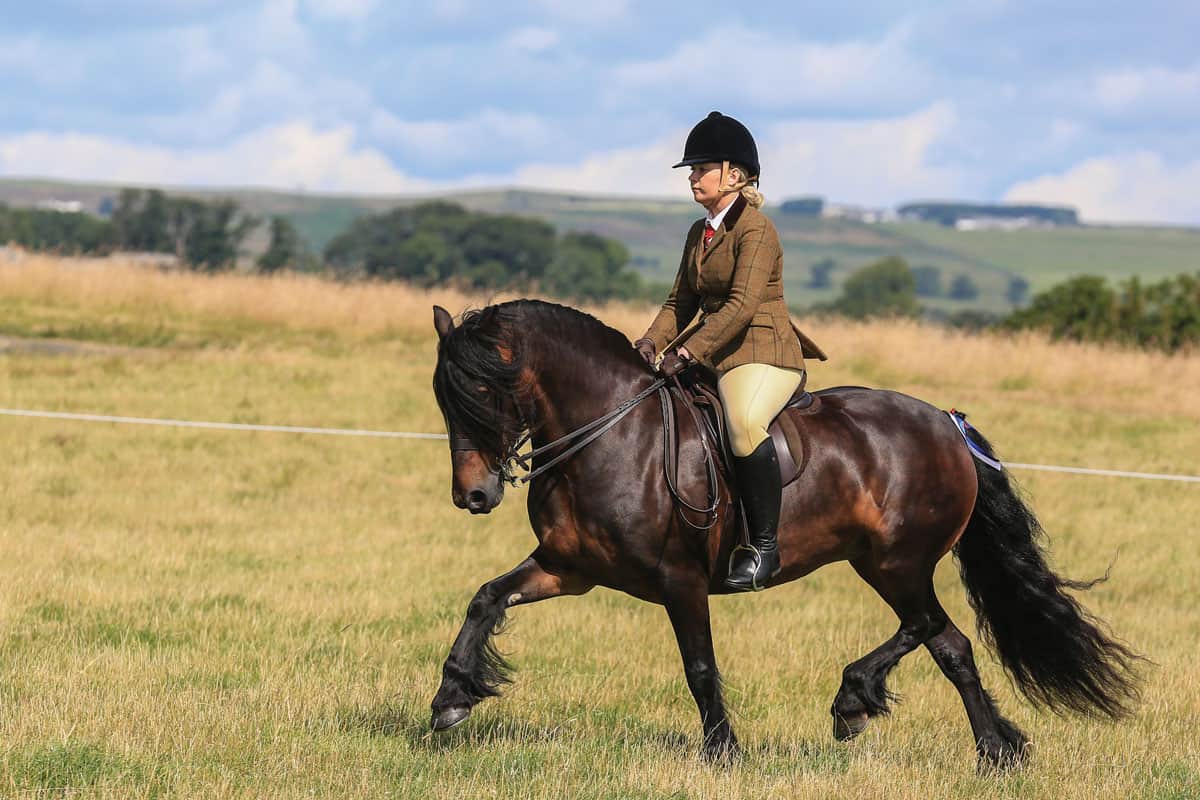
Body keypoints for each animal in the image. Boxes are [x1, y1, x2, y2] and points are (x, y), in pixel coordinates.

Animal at [427, 298, 1137, 767]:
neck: (610, 433)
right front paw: (451, 698)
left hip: (898, 562)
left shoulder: (680, 581)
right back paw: (994, 749)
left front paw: (723, 754)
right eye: (444, 397)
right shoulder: (568, 568)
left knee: (928, 627)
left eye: (484, 392)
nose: (473, 496)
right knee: (951, 644)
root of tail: (946, 422)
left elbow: (700, 667)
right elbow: (486, 598)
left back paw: (859, 701)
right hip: (882, 563)